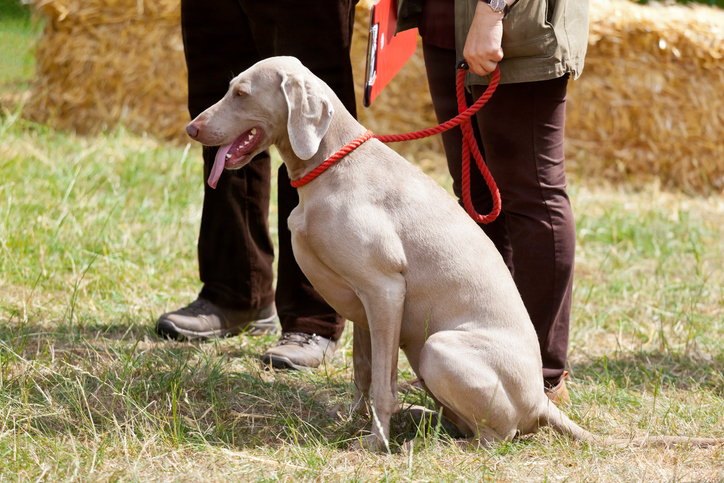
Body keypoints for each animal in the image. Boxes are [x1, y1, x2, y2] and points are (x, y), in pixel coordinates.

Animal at [188, 56, 724, 454]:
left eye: (241, 93)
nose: (192, 128)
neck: (332, 165)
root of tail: (540, 400)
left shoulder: (385, 289)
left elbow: (381, 384)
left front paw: (374, 444)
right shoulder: (363, 305)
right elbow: (364, 372)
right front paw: (351, 426)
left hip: (437, 348)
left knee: (496, 436)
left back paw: (429, 439)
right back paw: (421, 416)